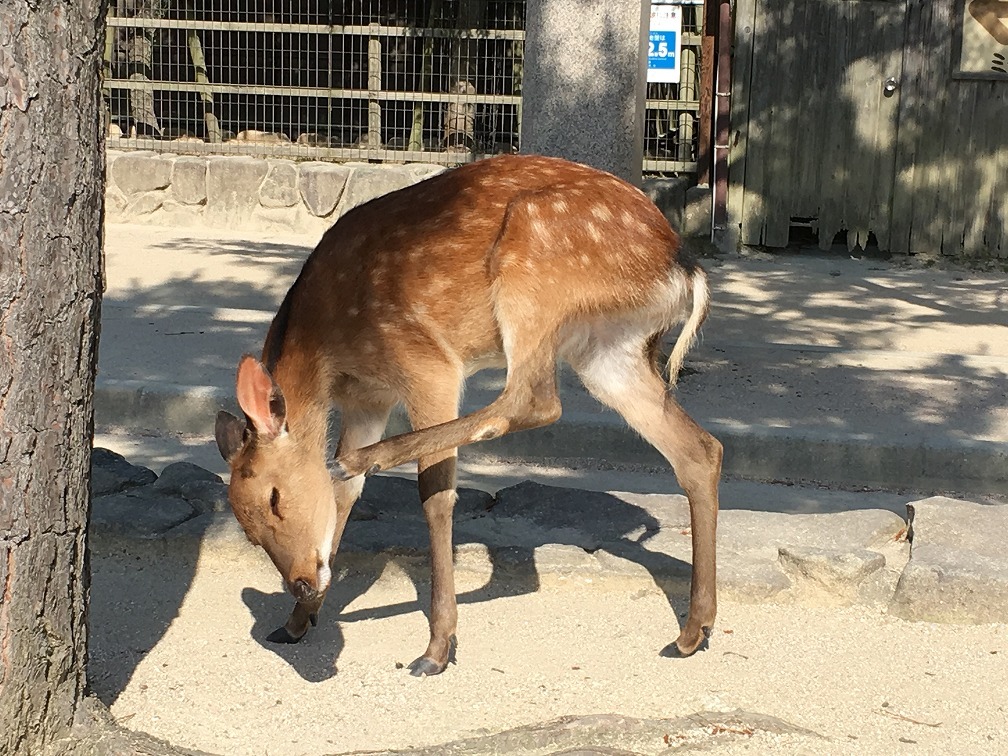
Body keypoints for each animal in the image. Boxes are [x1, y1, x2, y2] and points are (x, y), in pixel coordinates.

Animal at [216, 152, 725, 673]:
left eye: (274, 497)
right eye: (248, 531)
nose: (301, 583)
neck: (327, 345)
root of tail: (685, 267)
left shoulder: (426, 364)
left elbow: (434, 496)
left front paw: (437, 647)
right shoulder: (367, 398)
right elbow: (344, 497)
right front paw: (297, 622)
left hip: (535, 270)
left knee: (534, 399)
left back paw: (365, 461)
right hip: (608, 351)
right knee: (699, 449)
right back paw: (692, 632)